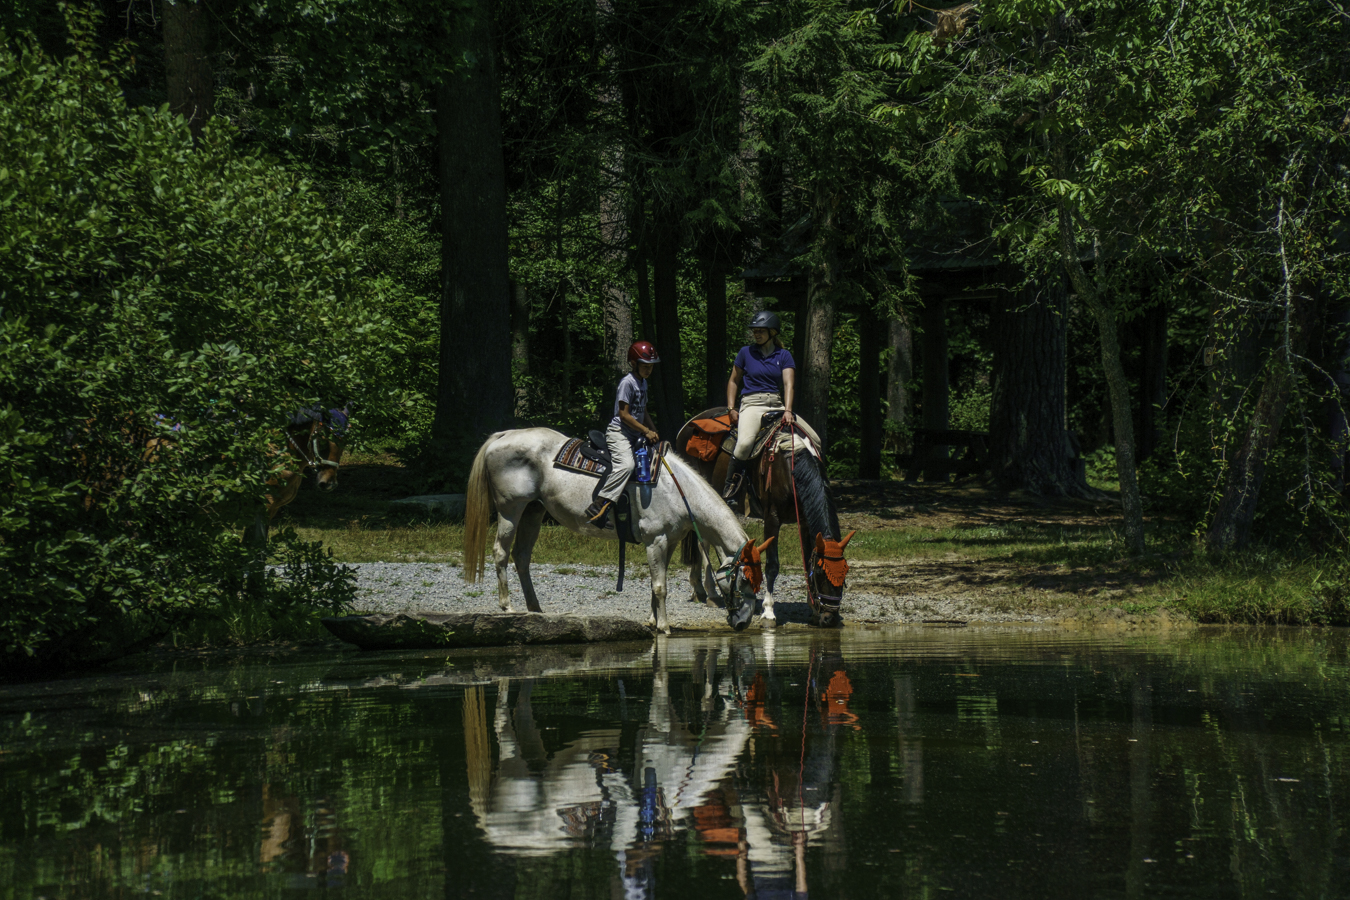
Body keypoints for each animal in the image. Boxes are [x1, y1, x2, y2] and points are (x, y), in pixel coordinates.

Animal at [461, 429, 772, 634]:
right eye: (744, 579)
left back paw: (535, 608)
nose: (743, 623)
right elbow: (660, 586)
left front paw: (652, 620)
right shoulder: (655, 540)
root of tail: (503, 435)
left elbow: (656, 584)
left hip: (533, 511)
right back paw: (507, 606)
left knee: (522, 556)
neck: (677, 490)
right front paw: (664, 626)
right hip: (510, 510)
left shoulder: (668, 542)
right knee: (501, 552)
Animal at [675, 410, 853, 631]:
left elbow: (806, 561)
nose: (830, 618)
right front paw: (768, 612)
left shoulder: (804, 520)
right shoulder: (772, 519)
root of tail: (689, 424)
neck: (789, 465)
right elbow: (772, 565)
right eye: (821, 572)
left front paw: (813, 608)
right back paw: (710, 593)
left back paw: (700, 590)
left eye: (845, 574)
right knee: (703, 543)